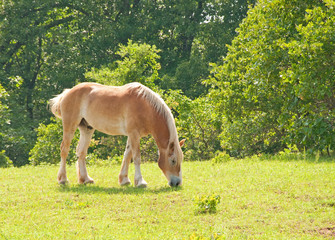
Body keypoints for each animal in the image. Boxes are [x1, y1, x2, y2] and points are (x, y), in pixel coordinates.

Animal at [49, 82, 186, 188]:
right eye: (173, 161)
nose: (177, 183)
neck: (146, 107)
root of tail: (67, 92)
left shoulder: (132, 135)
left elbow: (127, 155)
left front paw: (124, 180)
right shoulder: (134, 134)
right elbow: (136, 157)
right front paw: (140, 182)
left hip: (87, 128)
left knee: (81, 152)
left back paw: (86, 179)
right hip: (70, 126)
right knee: (64, 150)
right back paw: (63, 179)